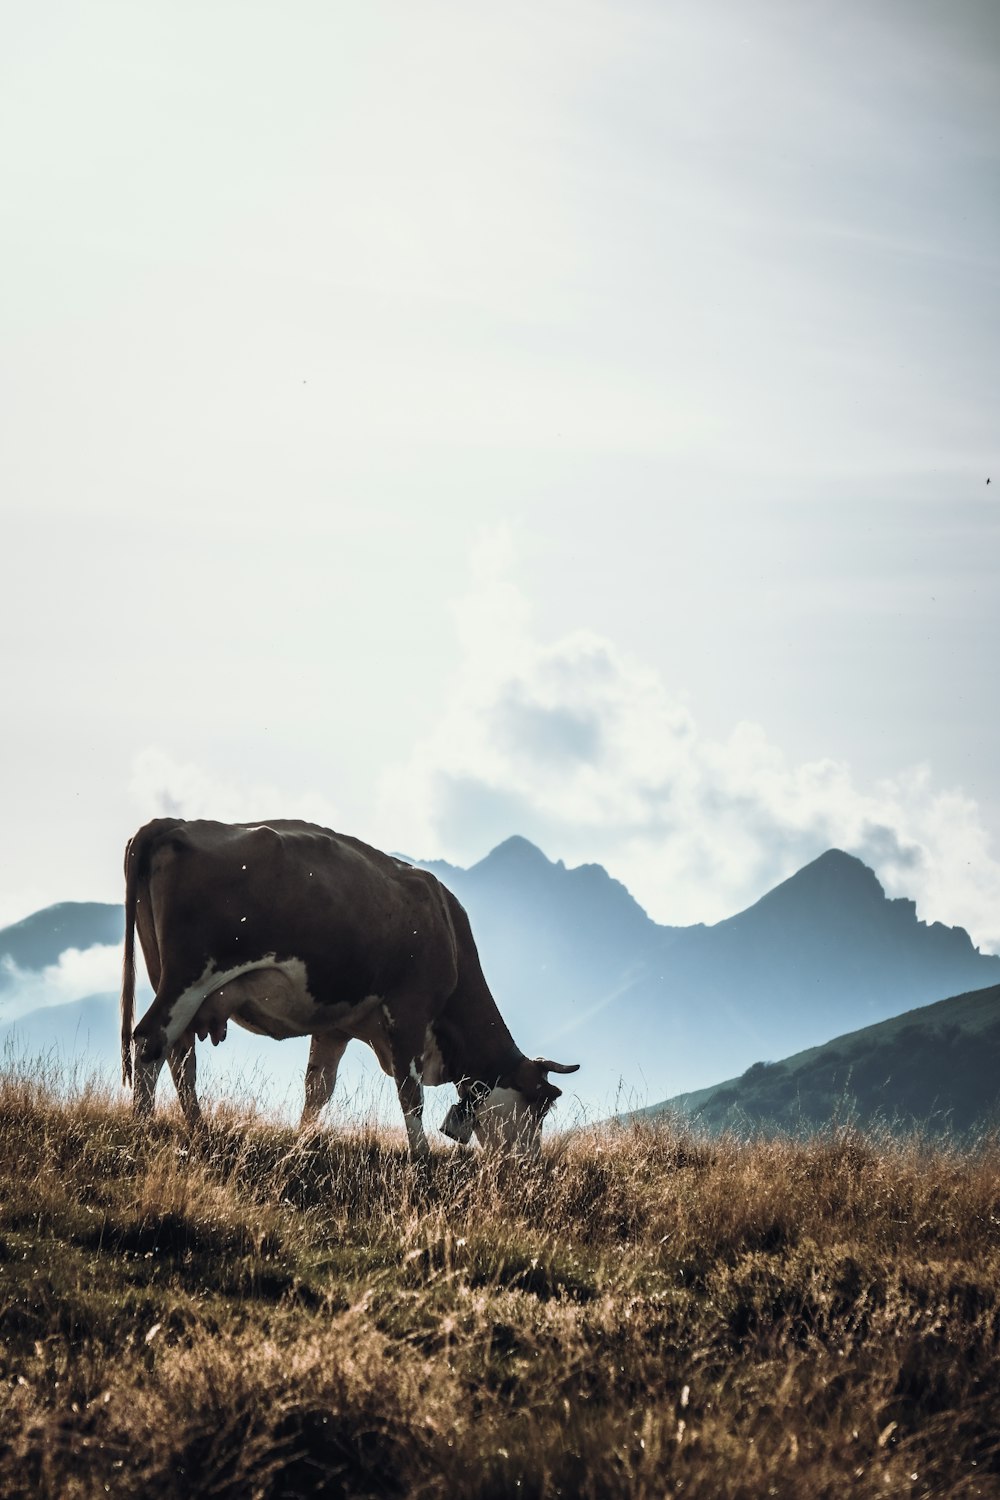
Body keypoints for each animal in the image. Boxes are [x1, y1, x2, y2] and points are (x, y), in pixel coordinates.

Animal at [119, 822, 578, 1158]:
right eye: (539, 1103)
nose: (531, 1164)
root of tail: (175, 823)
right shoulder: (408, 1010)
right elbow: (410, 1094)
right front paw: (422, 1155)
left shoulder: (335, 1026)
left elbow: (318, 1089)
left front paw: (302, 1144)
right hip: (189, 976)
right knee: (150, 1041)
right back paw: (142, 1127)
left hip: (173, 981)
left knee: (180, 1057)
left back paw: (197, 1127)